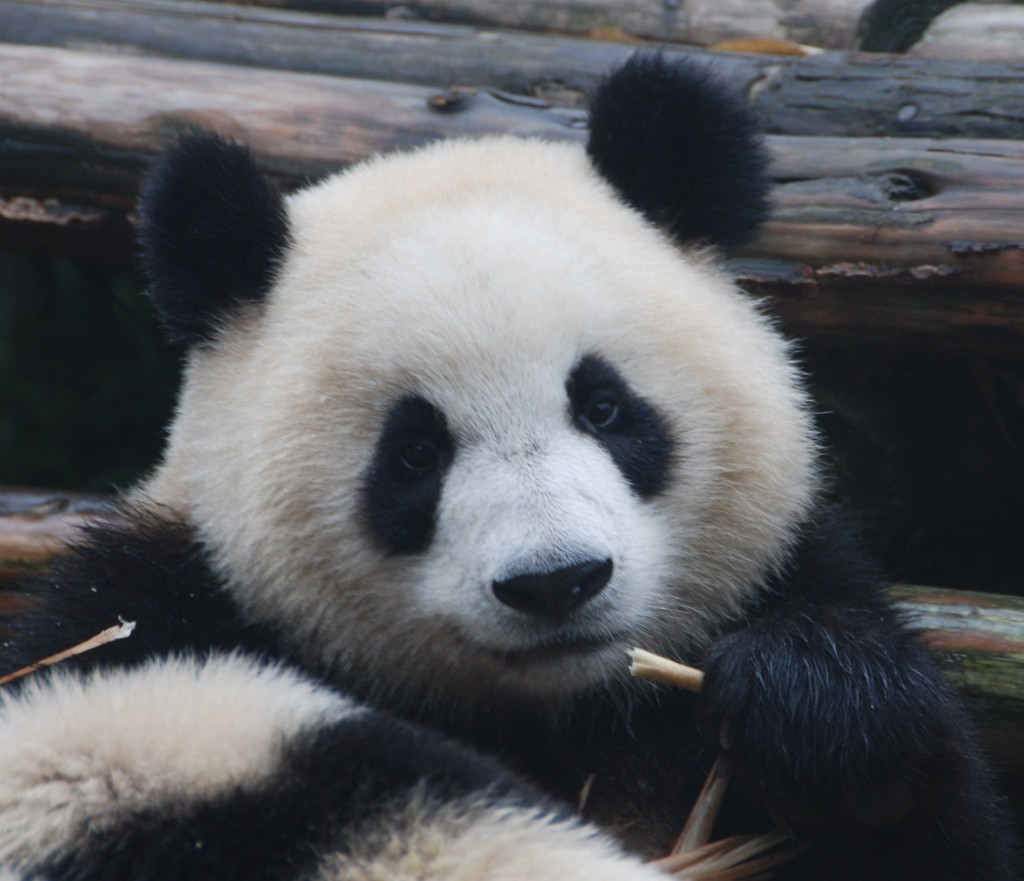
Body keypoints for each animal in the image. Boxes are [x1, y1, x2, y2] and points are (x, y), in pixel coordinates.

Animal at [0, 55, 1015, 881]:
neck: (567, 711)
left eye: (604, 407)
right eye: (415, 453)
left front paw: (816, 708)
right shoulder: (146, 608)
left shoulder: (786, 572)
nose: (557, 582)